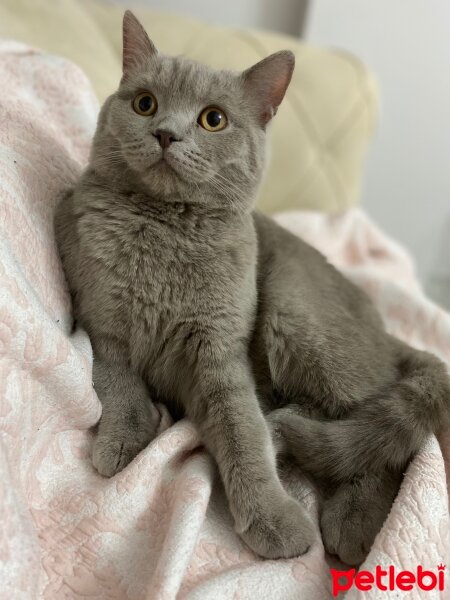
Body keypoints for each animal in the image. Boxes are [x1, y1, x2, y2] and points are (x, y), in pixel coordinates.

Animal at [55, 10, 450, 568]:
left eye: (213, 120)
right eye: (145, 103)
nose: (166, 134)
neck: (164, 234)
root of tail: (386, 331)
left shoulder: (219, 351)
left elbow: (242, 429)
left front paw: (273, 517)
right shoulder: (101, 322)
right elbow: (115, 380)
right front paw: (127, 436)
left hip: (294, 313)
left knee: (392, 444)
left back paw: (351, 522)